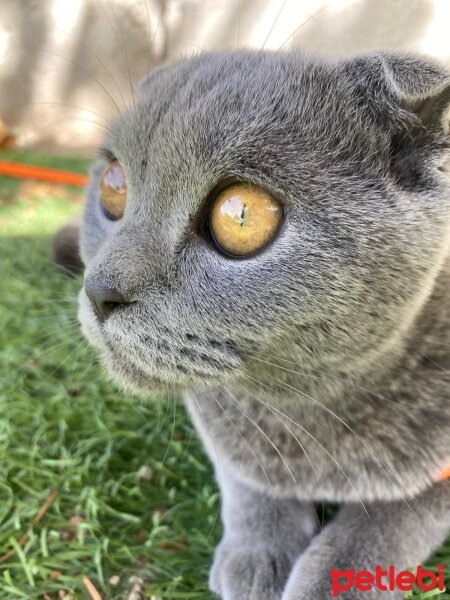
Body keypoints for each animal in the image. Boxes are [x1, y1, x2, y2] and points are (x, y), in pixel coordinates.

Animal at [70, 48, 450, 600]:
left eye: (242, 215)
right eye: (114, 186)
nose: (99, 291)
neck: (307, 409)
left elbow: (392, 519)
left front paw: (332, 582)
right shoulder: (218, 420)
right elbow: (246, 476)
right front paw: (258, 554)